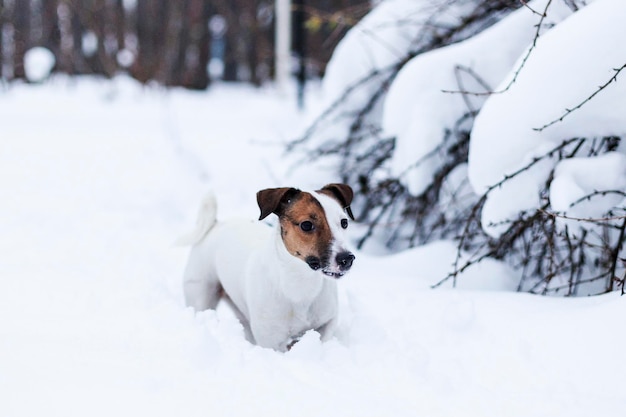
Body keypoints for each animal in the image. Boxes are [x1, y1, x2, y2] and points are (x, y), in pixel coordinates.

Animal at [182, 184, 356, 350]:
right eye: (306, 225)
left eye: (344, 222)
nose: (347, 259)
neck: (300, 283)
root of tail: (215, 224)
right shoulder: (271, 340)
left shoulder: (327, 321)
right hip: (201, 295)